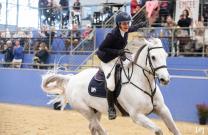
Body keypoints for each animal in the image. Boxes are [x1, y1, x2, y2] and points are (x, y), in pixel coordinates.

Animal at [41, 38, 180, 135]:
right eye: (153, 57)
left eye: (166, 55)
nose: (165, 79)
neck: (144, 84)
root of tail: (72, 79)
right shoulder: (137, 116)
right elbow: (159, 130)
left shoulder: (162, 109)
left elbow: (175, 130)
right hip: (86, 112)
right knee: (100, 129)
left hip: (95, 110)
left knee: (93, 128)